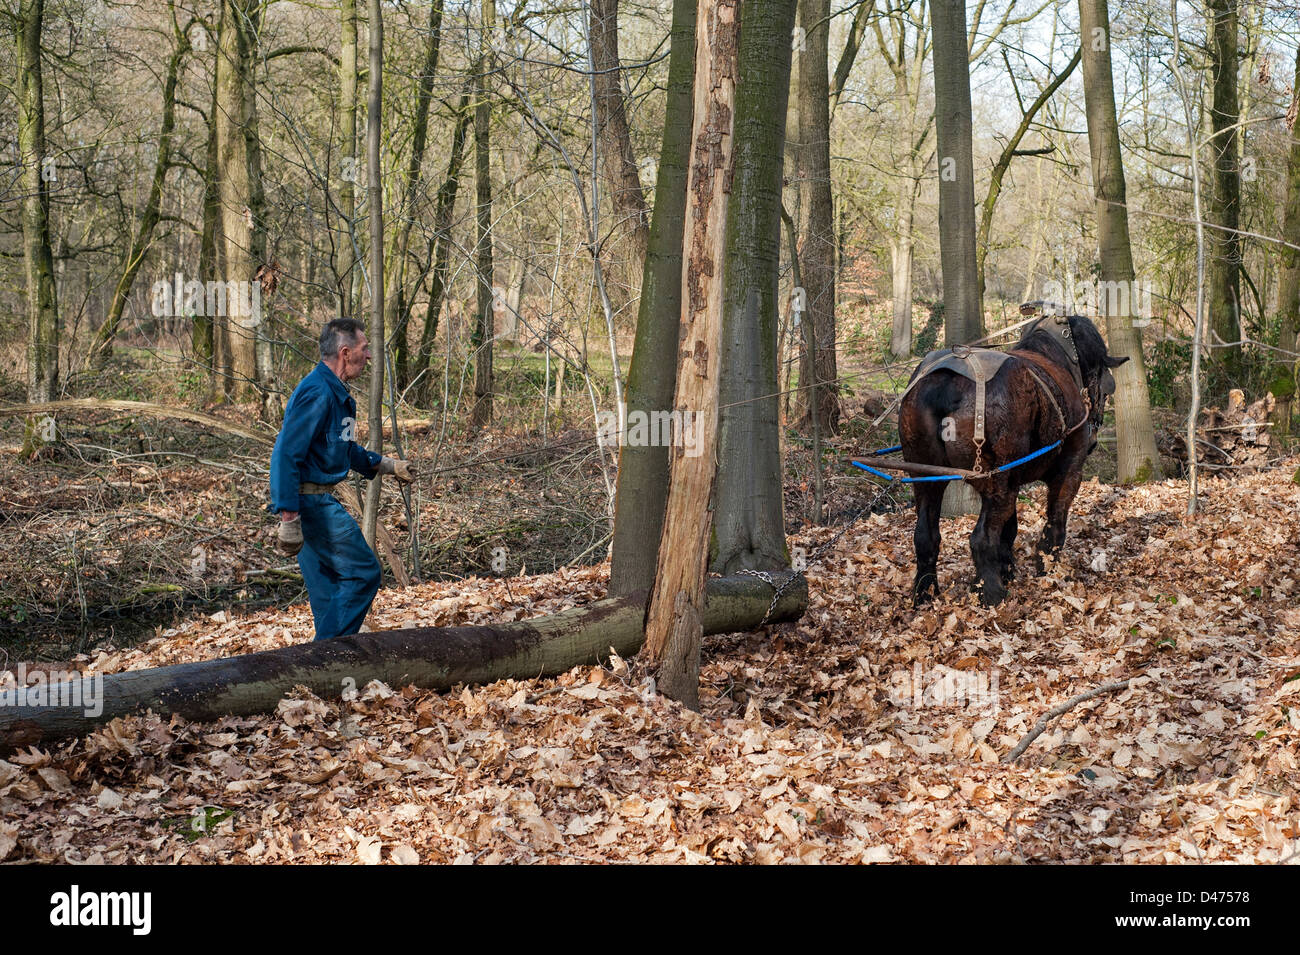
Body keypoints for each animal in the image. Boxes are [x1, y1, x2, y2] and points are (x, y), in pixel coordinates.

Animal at [898, 311, 1128, 606]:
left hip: (927, 478)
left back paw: (926, 592)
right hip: (996, 481)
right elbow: (1055, 519)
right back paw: (992, 594)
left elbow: (1009, 530)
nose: (1094, 438)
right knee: (982, 538)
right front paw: (1047, 565)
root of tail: (945, 384)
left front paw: (1007, 570)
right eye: (1106, 388)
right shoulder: (1069, 471)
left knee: (926, 536)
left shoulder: (1014, 480)